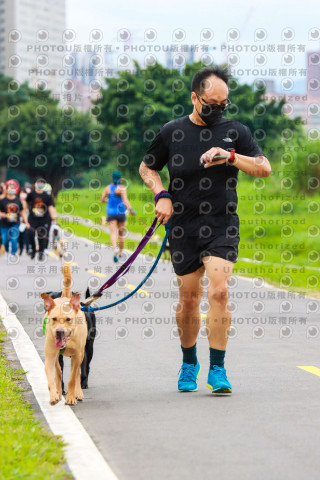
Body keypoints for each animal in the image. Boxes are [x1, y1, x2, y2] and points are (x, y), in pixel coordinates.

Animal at [42, 264, 89, 406]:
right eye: (54, 319)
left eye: (68, 319)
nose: (59, 331)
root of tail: (66, 297)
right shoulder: (50, 356)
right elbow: (51, 377)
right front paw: (54, 396)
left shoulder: (77, 355)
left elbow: (72, 378)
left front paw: (71, 398)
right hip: (58, 357)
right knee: (58, 371)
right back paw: (58, 391)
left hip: (82, 354)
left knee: (78, 373)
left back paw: (78, 393)